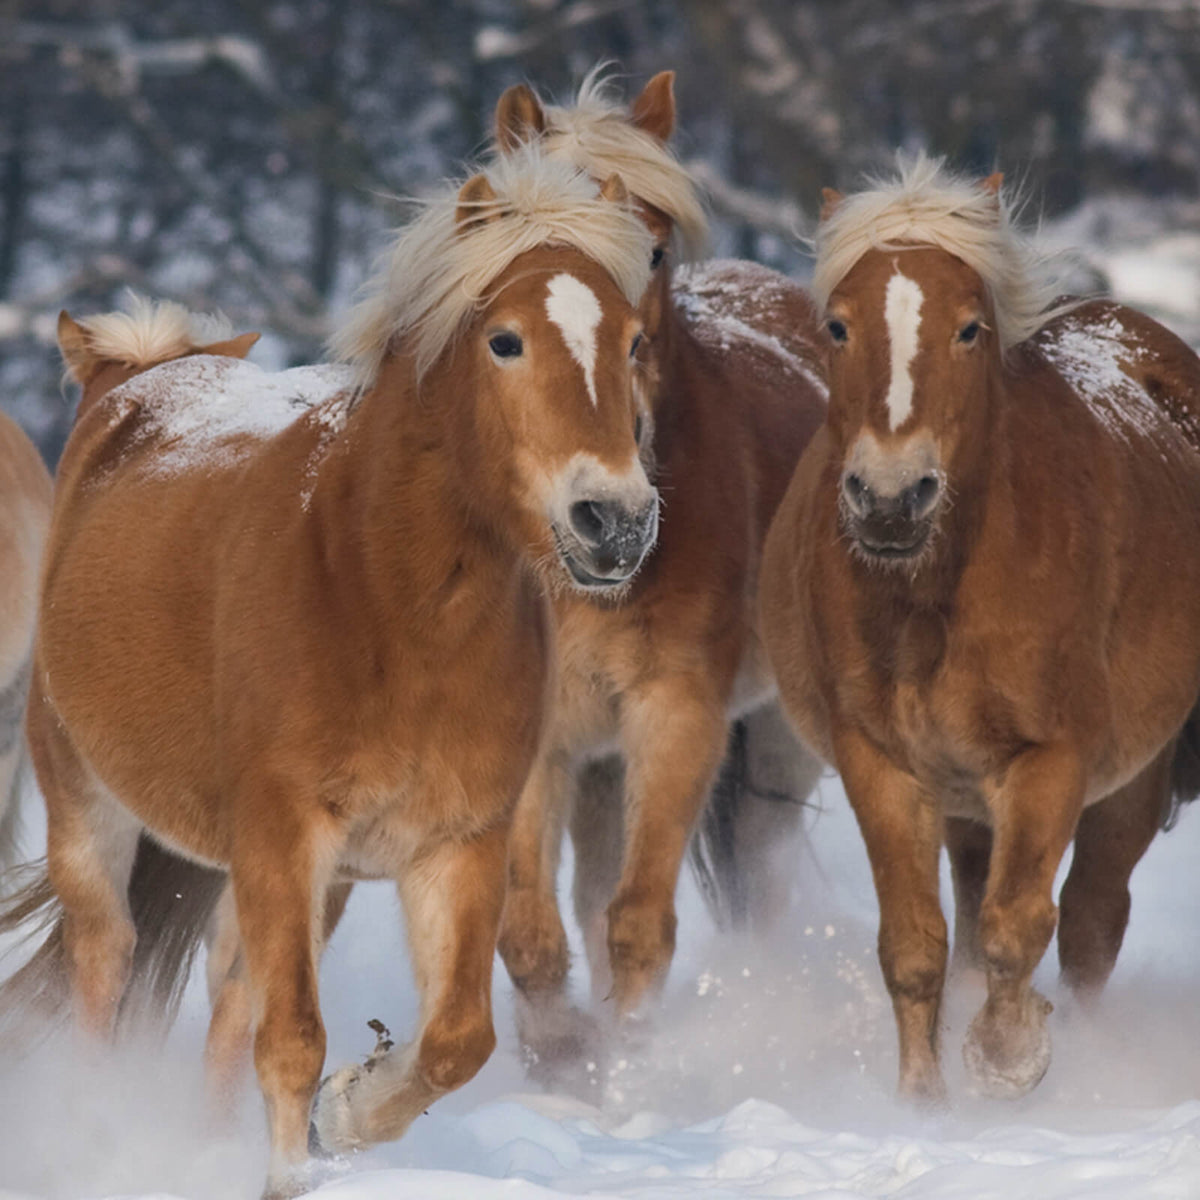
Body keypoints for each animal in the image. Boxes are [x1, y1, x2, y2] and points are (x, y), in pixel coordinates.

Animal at [0, 149, 658, 1199]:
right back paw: (95, 1134)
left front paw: (349, 1111)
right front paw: (299, 1159)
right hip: (86, 807)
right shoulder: (284, 833)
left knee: (230, 1001)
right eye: (505, 341)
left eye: (634, 342)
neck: (383, 602)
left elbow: (453, 1042)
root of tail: (135, 376)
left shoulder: (453, 845)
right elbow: (293, 1040)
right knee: (107, 964)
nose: (616, 522)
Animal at [488, 68, 827, 1074]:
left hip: (779, 741)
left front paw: (632, 1068)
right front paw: (563, 1059)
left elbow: (637, 926)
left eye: (656, 249)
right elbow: (532, 933)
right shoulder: (546, 739)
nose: (616, 514)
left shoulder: (676, 714)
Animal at [760, 152, 1200, 1104]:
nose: (891, 497)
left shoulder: (1050, 762)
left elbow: (1018, 927)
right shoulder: (882, 765)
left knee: (1090, 922)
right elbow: (917, 947)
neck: (937, 595)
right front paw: (923, 1102)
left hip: (1130, 784)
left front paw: (1008, 1058)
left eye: (969, 330)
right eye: (838, 326)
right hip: (965, 802)